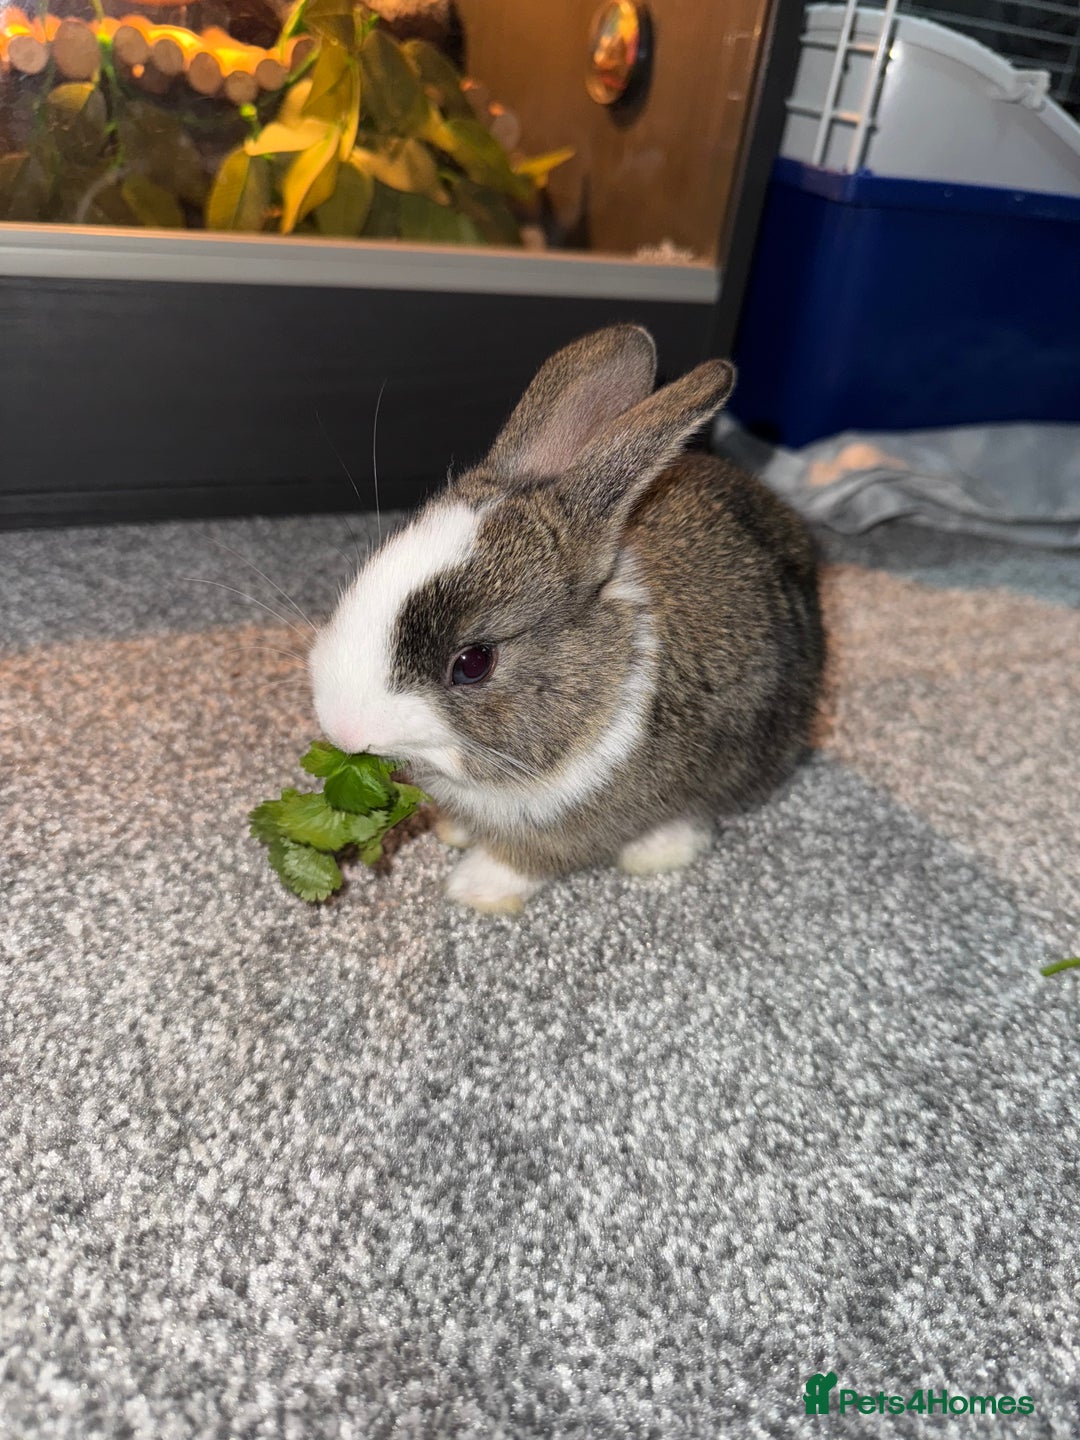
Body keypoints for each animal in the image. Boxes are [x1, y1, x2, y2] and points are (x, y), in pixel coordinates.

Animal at [309, 324, 825, 913]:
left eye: (473, 663)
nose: (341, 727)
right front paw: (452, 831)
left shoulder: (576, 825)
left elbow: (529, 859)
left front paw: (474, 889)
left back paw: (656, 851)